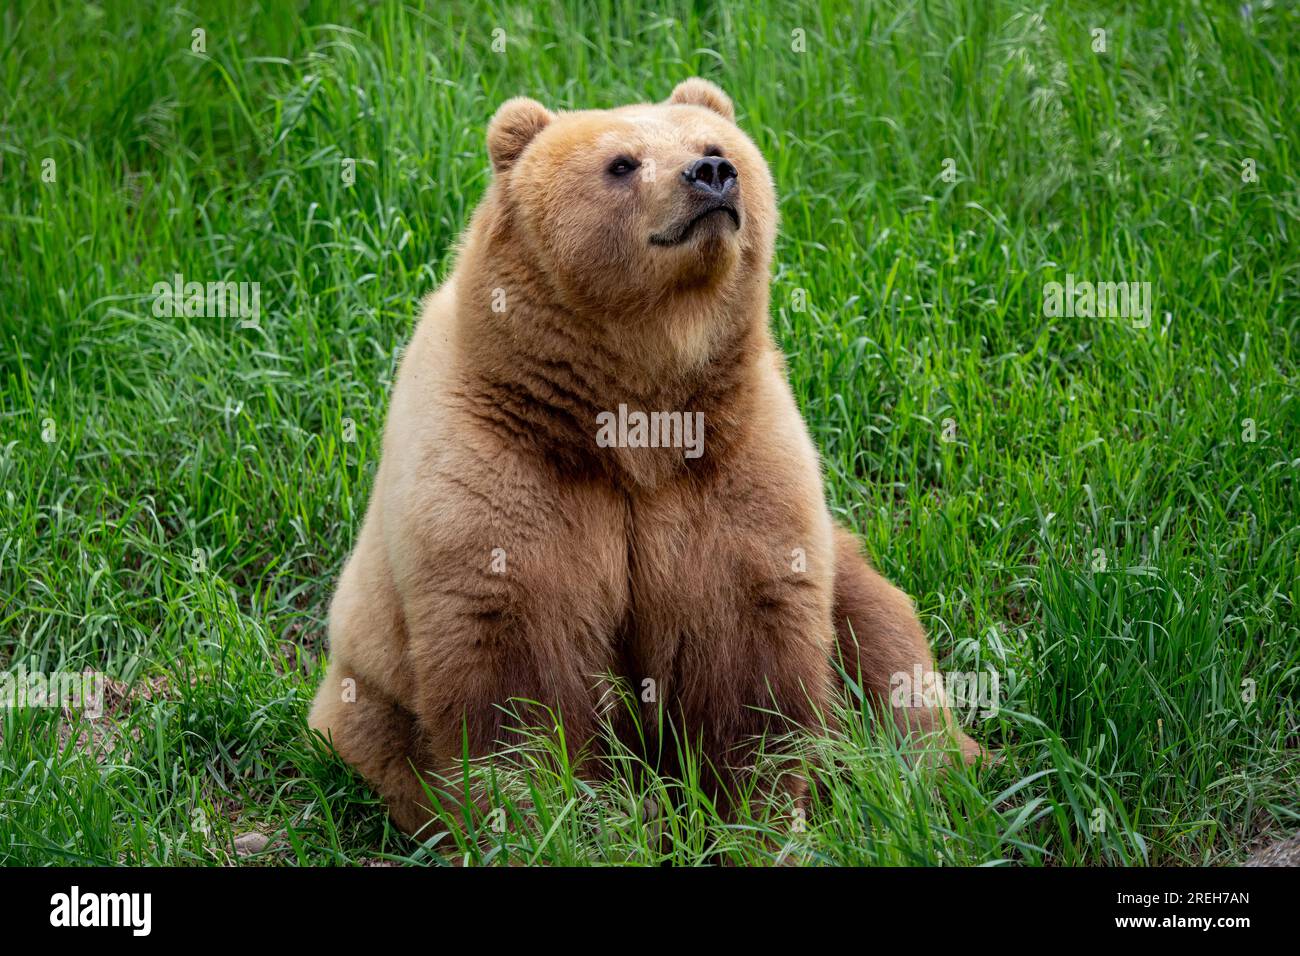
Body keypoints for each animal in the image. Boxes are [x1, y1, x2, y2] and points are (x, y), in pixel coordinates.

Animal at [308, 78, 982, 836]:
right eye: (622, 163)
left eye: (712, 143)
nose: (713, 174)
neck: (633, 418)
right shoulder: (499, 471)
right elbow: (520, 680)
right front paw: (559, 817)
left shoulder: (733, 462)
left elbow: (749, 655)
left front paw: (748, 817)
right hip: (367, 698)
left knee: (887, 644)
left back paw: (939, 771)